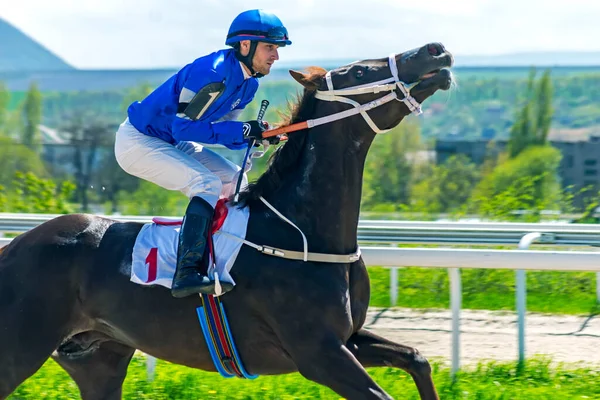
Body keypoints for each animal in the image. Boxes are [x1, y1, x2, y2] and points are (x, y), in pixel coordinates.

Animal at [0, 43, 450, 400]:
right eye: (357, 72)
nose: (437, 50)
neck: (303, 236)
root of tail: (14, 246)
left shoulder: (349, 340)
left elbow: (418, 359)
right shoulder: (318, 354)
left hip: (98, 359)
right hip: (21, 347)